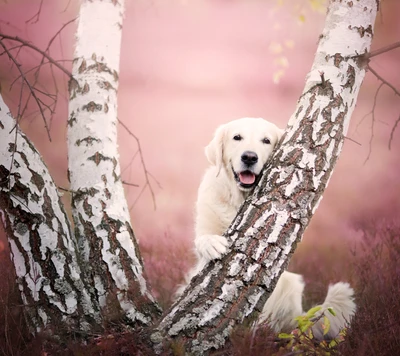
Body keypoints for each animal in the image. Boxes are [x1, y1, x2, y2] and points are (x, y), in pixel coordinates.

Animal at [181, 117, 356, 340]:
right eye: (237, 137)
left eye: (266, 140)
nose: (249, 157)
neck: (240, 199)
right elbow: (202, 239)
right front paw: (211, 243)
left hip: (290, 285)